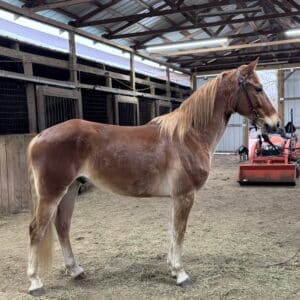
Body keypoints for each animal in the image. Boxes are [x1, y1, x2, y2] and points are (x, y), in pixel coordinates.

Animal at [25, 58, 278, 296]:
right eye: (257, 88)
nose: (275, 123)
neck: (188, 136)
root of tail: (38, 137)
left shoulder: (177, 197)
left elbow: (172, 231)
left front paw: (172, 268)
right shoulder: (185, 195)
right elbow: (179, 231)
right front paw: (180, 274)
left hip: (69, 190)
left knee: (62, 227)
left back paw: (75, 269)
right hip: (52, 193)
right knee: (36, 230)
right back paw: (35, 282)